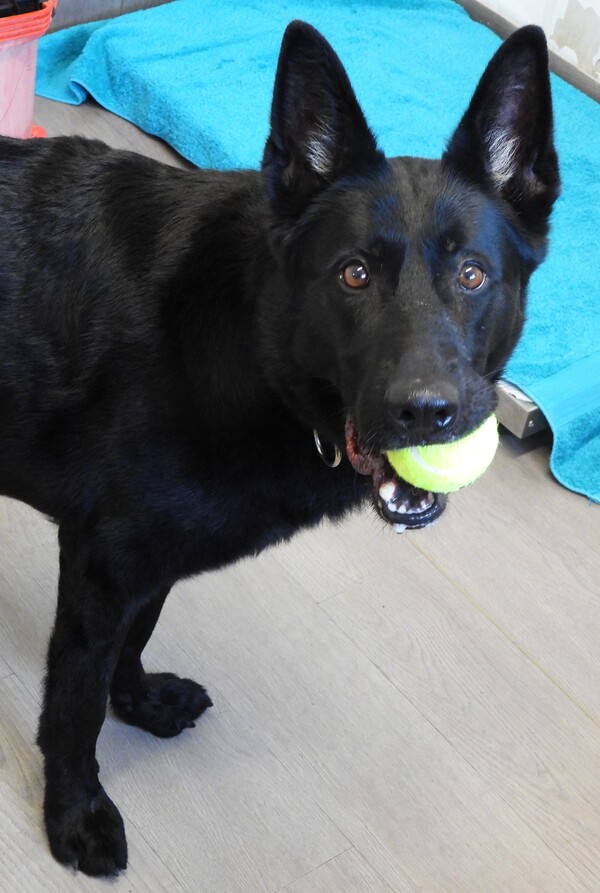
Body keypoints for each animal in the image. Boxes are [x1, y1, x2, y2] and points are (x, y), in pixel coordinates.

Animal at [0, 20, 558, 876]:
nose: (426, 413)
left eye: (472, 275)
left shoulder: (148, 560)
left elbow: (137, 636)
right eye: (353, 274)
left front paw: (141, 700)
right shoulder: (103, 563)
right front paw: (74, 814)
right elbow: (74, 702)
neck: (256, 343)